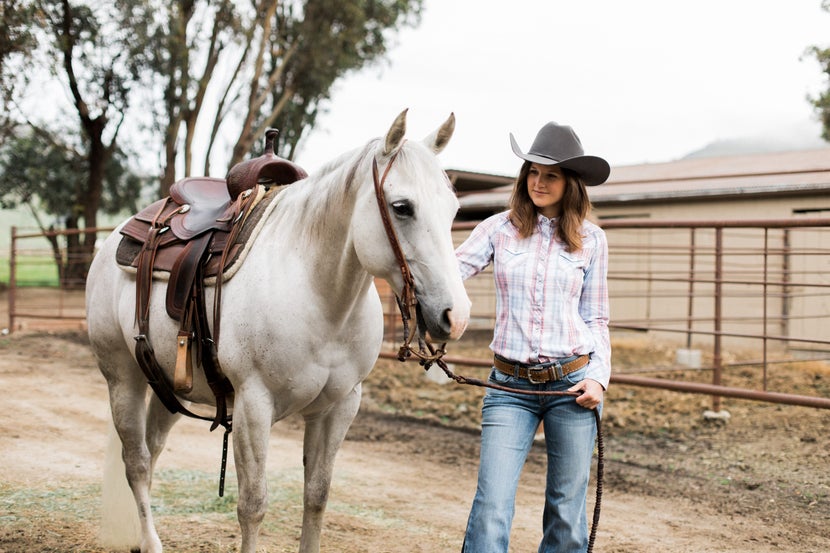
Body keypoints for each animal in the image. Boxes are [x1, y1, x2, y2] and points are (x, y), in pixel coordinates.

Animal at [89, 110, 474, 548]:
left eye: (453, 209)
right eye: (402, 207)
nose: (456, 315)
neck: (319, 295)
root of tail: (113, 240)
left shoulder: (339, 407)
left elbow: (317, 496)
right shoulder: (254, 405)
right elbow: (253, 505)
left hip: (168, 385)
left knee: (152, 450)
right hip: (123, 378)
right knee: (136, 462)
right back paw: (152, 543)